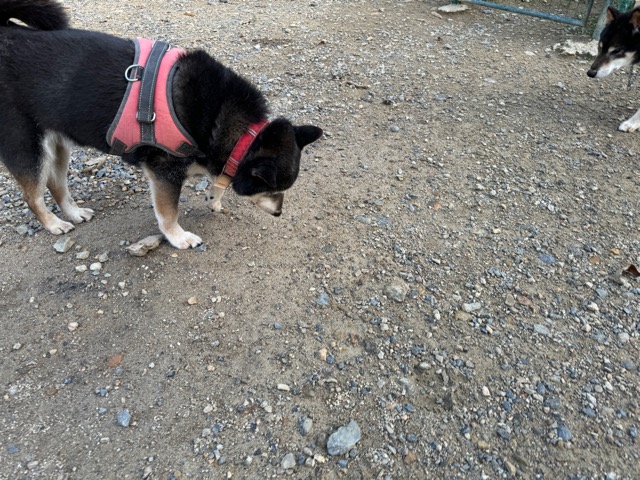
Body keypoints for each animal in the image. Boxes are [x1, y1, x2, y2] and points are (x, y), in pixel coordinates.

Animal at [0, 0, 322, 249]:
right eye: (271, 189)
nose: (279, 213)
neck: (242, 132)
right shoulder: (165, 172)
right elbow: (169, 213)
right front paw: (178, 237)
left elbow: (218, 181)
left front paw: (214, 198)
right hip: (26, 146)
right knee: (33, 196)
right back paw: (53, 223)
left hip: (56, 142)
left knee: (56, 184)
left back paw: (73, 213)